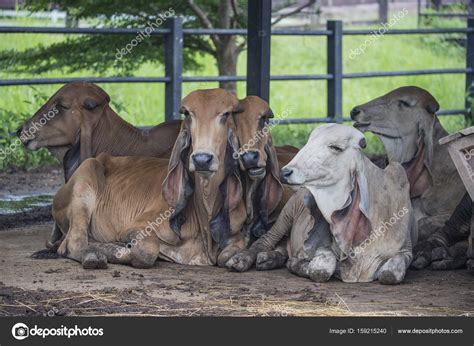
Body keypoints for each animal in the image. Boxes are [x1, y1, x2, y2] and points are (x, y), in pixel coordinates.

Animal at [50, 88, 246, 268]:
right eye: (188, 114)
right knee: (71, 244)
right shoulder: (138, 226)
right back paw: (94, 256)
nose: (202, 159)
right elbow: (147, 251)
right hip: (85, 181)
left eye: (226, 114)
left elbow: (228, 254)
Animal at [228, 124, 416, 284]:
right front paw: (299, 265)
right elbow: (321, 269)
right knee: (264, 241)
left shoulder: (405, 251)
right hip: (287, 213)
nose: (285, 172)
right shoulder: (320, 247)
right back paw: (242, 259)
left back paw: (269, 259)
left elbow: (389, 274)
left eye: (335, 147)